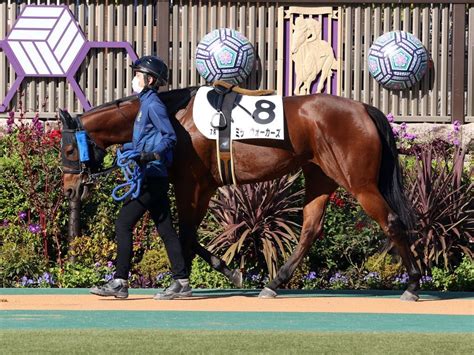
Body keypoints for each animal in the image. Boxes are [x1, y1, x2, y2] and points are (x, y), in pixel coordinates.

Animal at [60, 87, 422, 302]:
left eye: (68, 148)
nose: (69, 189)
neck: (177, 117)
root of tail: (363, 108)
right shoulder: (202, 186)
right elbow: (186, 236)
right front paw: (225, 271)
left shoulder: (192, 184)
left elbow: (185, 234)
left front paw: (185, 282)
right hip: (320, 176)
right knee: (310, 228)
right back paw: (273, 284)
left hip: (359, 182)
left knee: (391, 222)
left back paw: (413, 285)